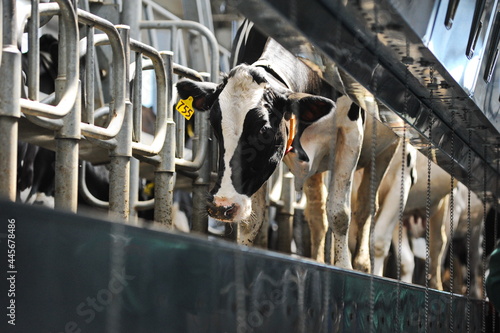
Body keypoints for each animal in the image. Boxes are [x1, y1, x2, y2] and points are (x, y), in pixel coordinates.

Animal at [178, 20, 404, 270]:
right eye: (214, 125)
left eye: (265, 131)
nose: (222, 206)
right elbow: (252, 220)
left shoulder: (351, 132)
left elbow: (340, 214)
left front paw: (345, 268)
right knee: (317, 214)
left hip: (388, 151)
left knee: (366, 208)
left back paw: (363, 265)